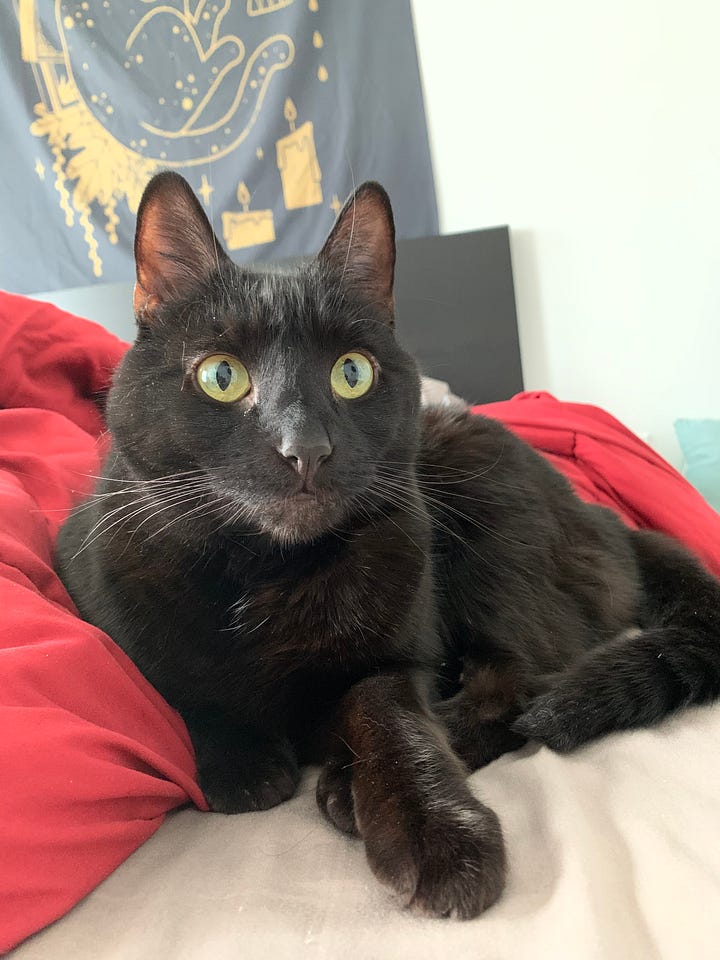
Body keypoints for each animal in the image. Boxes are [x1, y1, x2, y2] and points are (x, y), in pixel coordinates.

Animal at [56, 174, 720, 924]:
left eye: (352, 373)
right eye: (221, 377)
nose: (305, 448)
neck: (269, 574)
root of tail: (604, 518)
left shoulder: (398, 652)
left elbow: (393, 718)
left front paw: (437, 831)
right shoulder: (106, 588)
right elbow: (180, 687)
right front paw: (242, 762)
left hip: (483, 517)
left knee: (516, 683)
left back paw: (355, 778)